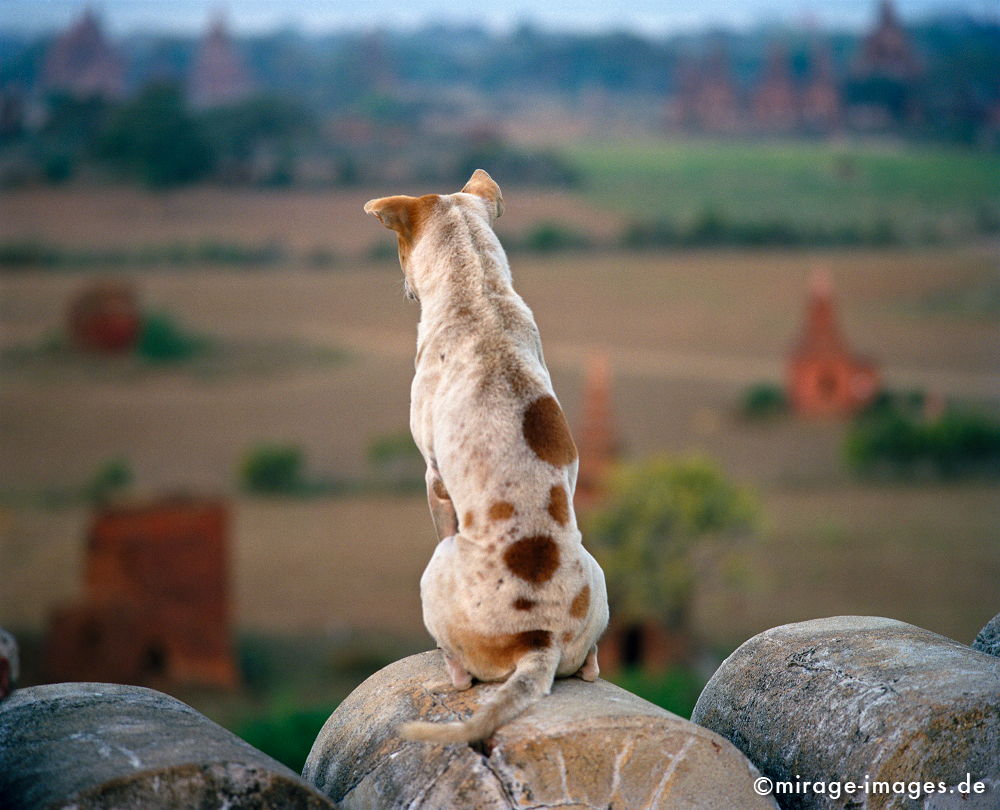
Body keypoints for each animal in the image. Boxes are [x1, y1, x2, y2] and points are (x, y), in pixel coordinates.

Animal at [364, 170, 604, 744]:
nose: (404, 287)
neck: (476, 290)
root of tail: (540, 642)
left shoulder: (433, 478)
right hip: (599, 576)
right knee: (592, 664)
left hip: (435, 574)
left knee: (462, 675)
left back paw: (447, 670)